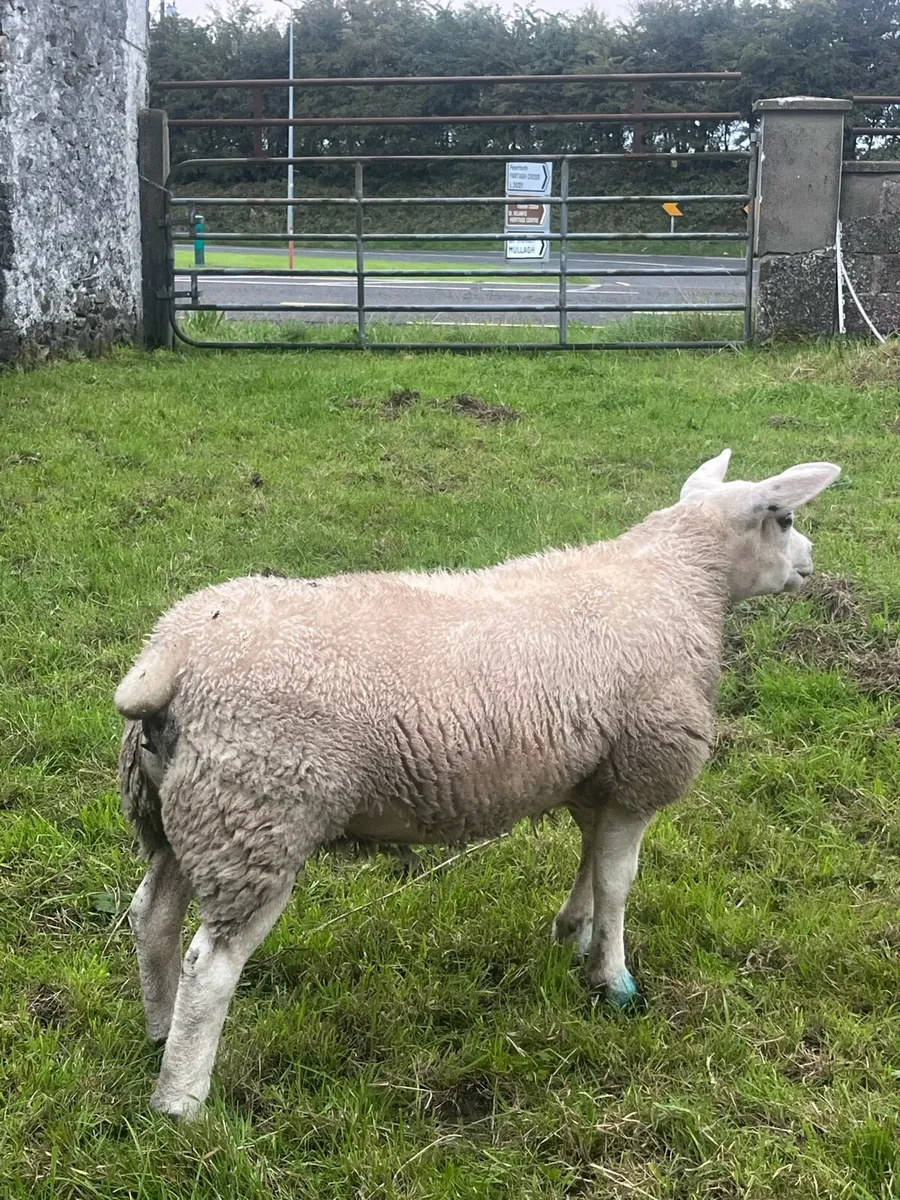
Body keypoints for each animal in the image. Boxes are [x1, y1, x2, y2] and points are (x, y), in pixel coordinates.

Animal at [115, 449, 840, 1118]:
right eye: (786, 518)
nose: (811, 560)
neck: (680, 579)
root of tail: (170, 656)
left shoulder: (593, 776)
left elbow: (589, 860)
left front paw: (572, 934)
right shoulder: (641, 770)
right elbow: (618, 881)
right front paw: (613, 979)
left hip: (182, 811)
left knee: (153, 916)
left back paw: (158, 1032)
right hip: (258, 816)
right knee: (210, 965)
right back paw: (180, 1100)